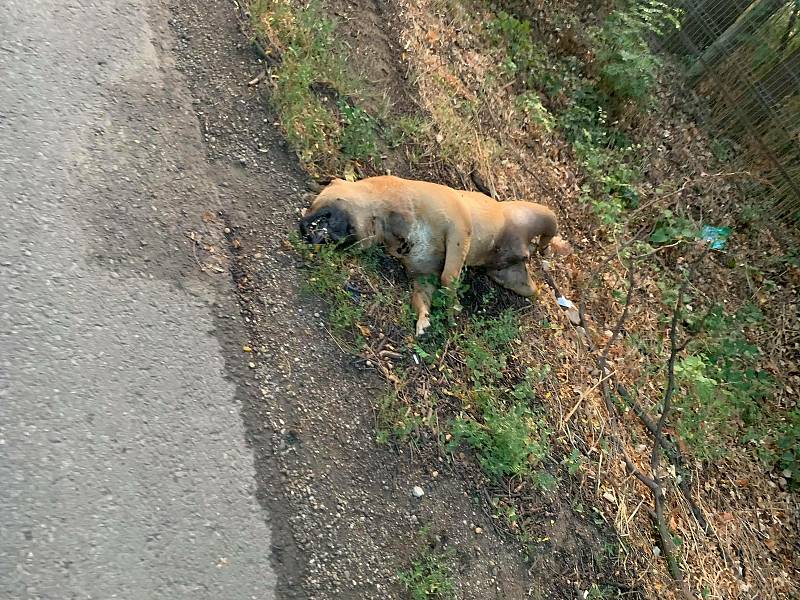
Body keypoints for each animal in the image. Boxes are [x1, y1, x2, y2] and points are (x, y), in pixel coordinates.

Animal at [302, 176, 564, 336]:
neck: (387, 218)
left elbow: (449, 277)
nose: (303, 228)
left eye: (316, 204)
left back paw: (545, 247)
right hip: (512, 279)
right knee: (532, 287)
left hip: (539, 214)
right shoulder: (423, 275)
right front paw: (424, 320)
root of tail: (524, 250)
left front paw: (452, 305)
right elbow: (421, 298)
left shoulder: (458, 229)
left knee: (550, 230)